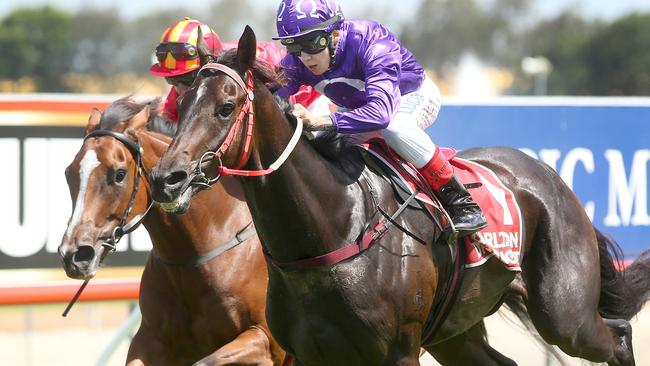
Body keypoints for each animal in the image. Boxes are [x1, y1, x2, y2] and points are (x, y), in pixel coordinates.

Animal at [149, 27, 648, 364]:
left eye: (225, 107)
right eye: (180, 102)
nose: (167, 179)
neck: (332, 231)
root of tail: (547, 174)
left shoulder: (399, 351)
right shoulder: (310, 352)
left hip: (565, 315)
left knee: (618, 335)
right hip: (457, 330)